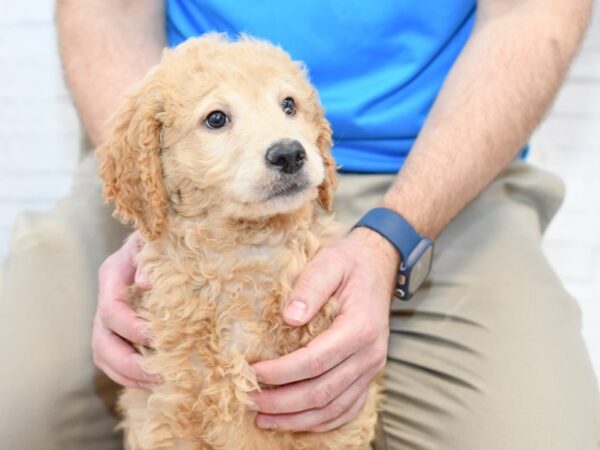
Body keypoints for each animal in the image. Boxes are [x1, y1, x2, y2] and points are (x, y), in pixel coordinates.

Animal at [98, 33, 380, 448]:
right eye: (216, 118)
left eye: (288, 105)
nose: (289, 153)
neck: (244, 253)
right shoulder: (166, 408)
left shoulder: (332, 419)